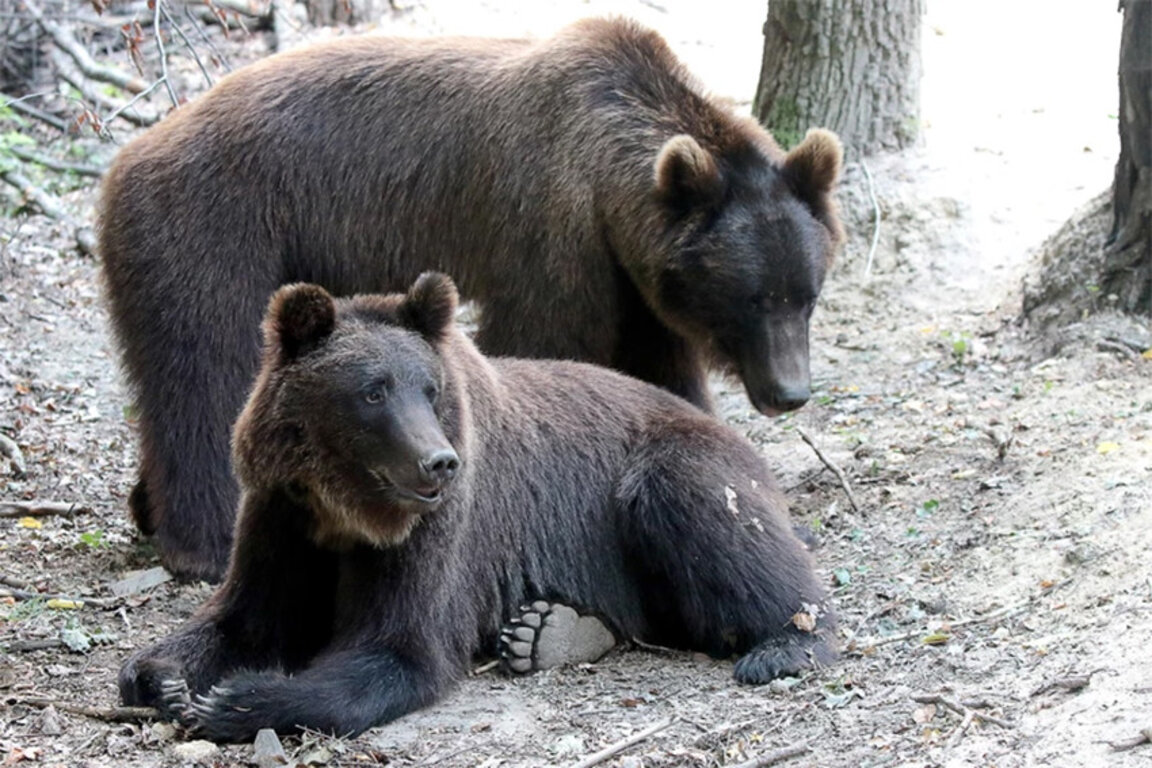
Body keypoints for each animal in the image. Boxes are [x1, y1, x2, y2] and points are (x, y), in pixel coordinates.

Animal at [99, 17, 844, 581]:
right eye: (751, 299)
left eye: (805, 295)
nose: (789, 392)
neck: (607, 184)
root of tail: (126, 158)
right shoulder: (552, 234)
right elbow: (545, 344)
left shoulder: (633, 277)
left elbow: (662, 374)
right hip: (217, 231)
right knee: (207, 373)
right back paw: (207, 542)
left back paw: (148, 508)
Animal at [117, 274, 836, 742]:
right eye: (373, 390)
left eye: (429, 389)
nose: (437, 461)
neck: (345, 510)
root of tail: (743, 441)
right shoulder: (282, 518)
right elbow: (243, 618)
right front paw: (160, 676)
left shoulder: (440, 532)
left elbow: (401, 650)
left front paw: (236, 699)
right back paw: (548, 630)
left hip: (663, 471)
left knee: (711, 523)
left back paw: (783, 644)